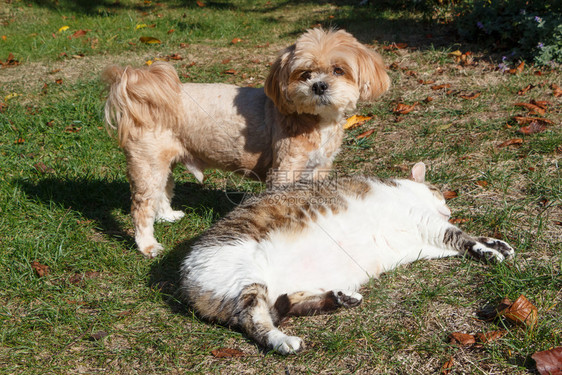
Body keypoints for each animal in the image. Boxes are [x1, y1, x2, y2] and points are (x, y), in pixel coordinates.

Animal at [103, 27, 388, 258]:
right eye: (304, 73)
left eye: (339, 70)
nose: (318, 86)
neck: (313, 119)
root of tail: (140, 95)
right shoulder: (286, 169)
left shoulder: (319, 169)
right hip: (147, 163)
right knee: (141, 207)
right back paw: (147, 245)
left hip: (163, 161)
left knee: (162, 190)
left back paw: (167, 215)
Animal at [178, 164, 512, 356]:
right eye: (439, 192)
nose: (449, 209)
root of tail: (186, 280)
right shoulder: (428, 225)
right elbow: (462, 238)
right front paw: (488, 251)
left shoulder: (426, 242)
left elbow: (464, 240)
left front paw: (497, 244)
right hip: (245, 275)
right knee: (255, 319)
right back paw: (282, 341)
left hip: (277, 287)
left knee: (288, 304)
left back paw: (339, 298)